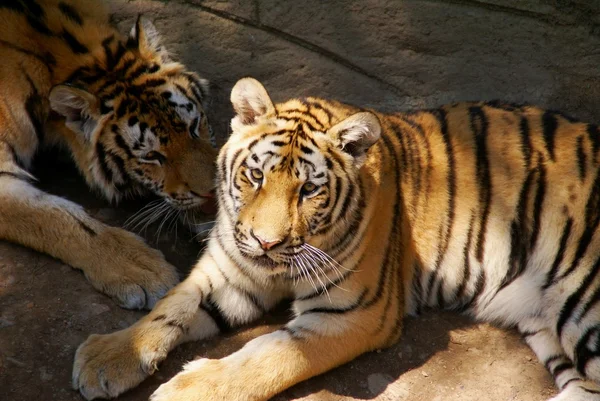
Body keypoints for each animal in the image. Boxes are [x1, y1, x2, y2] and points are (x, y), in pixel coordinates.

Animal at [69, 76, 600, 400]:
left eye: (308, 190)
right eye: (256, 176)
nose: (265, 243)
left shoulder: (354, 314)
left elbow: (270, 358)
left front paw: (188, 389)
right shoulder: (228, 273)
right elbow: (170, 308)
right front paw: (108, 356)